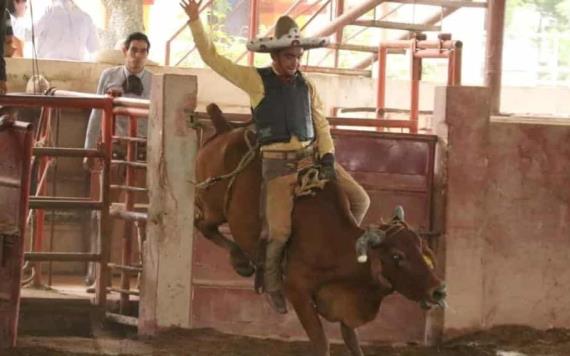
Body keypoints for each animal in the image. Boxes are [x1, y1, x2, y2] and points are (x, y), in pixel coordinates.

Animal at [193, 104, 446, 356]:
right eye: (397, 256)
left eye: (422, 251)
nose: (438, 291)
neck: (333, 244)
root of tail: (226, 129)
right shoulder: (299, 293)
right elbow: (321, 343)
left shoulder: (346, 303)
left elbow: (352, 341)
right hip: (213, 205)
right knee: (203, 224)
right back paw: (240, 262)